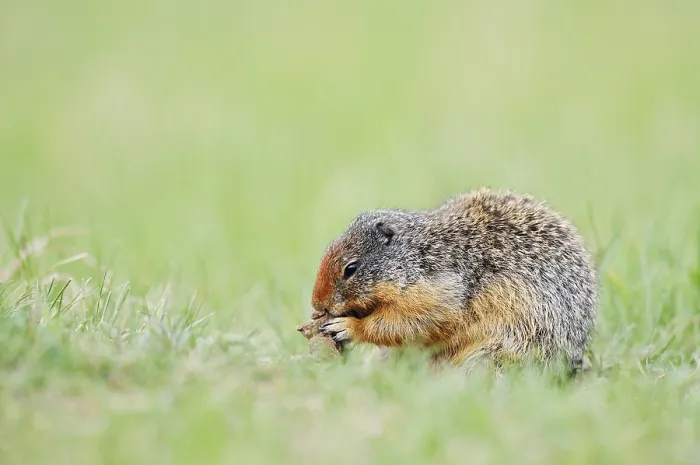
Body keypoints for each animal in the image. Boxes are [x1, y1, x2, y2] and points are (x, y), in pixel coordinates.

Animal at [305, 187, 598, 375]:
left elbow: (410, 323)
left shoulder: (438, 291)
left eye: (350, 268)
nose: (317, 305)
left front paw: (348, 327)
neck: (417, 254)